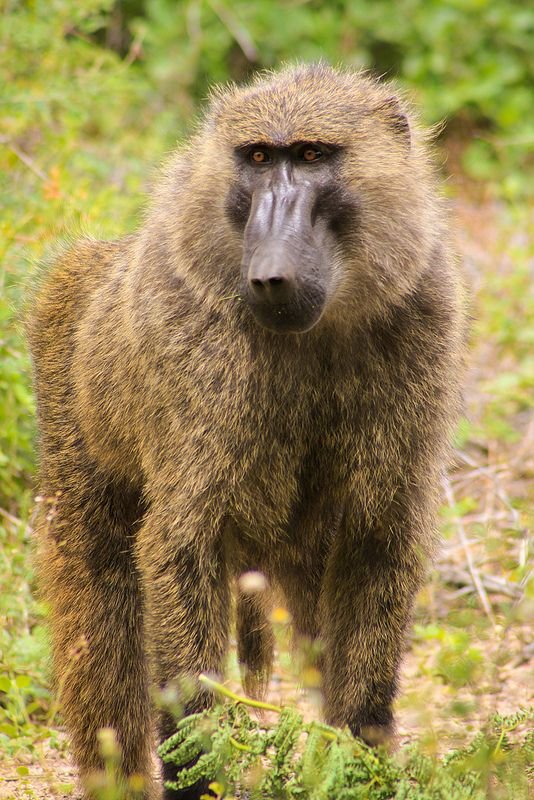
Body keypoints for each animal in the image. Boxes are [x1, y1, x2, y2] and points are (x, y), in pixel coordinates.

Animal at [28, 64, 465, 799]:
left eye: (312, 155)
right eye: (258, 158)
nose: (270, 274)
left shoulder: (422, 314)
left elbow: (376, 541)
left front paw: (361, 757)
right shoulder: (193, 344)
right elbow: (179, 548)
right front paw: (197, 767)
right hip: (66, 398)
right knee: (102, 599)